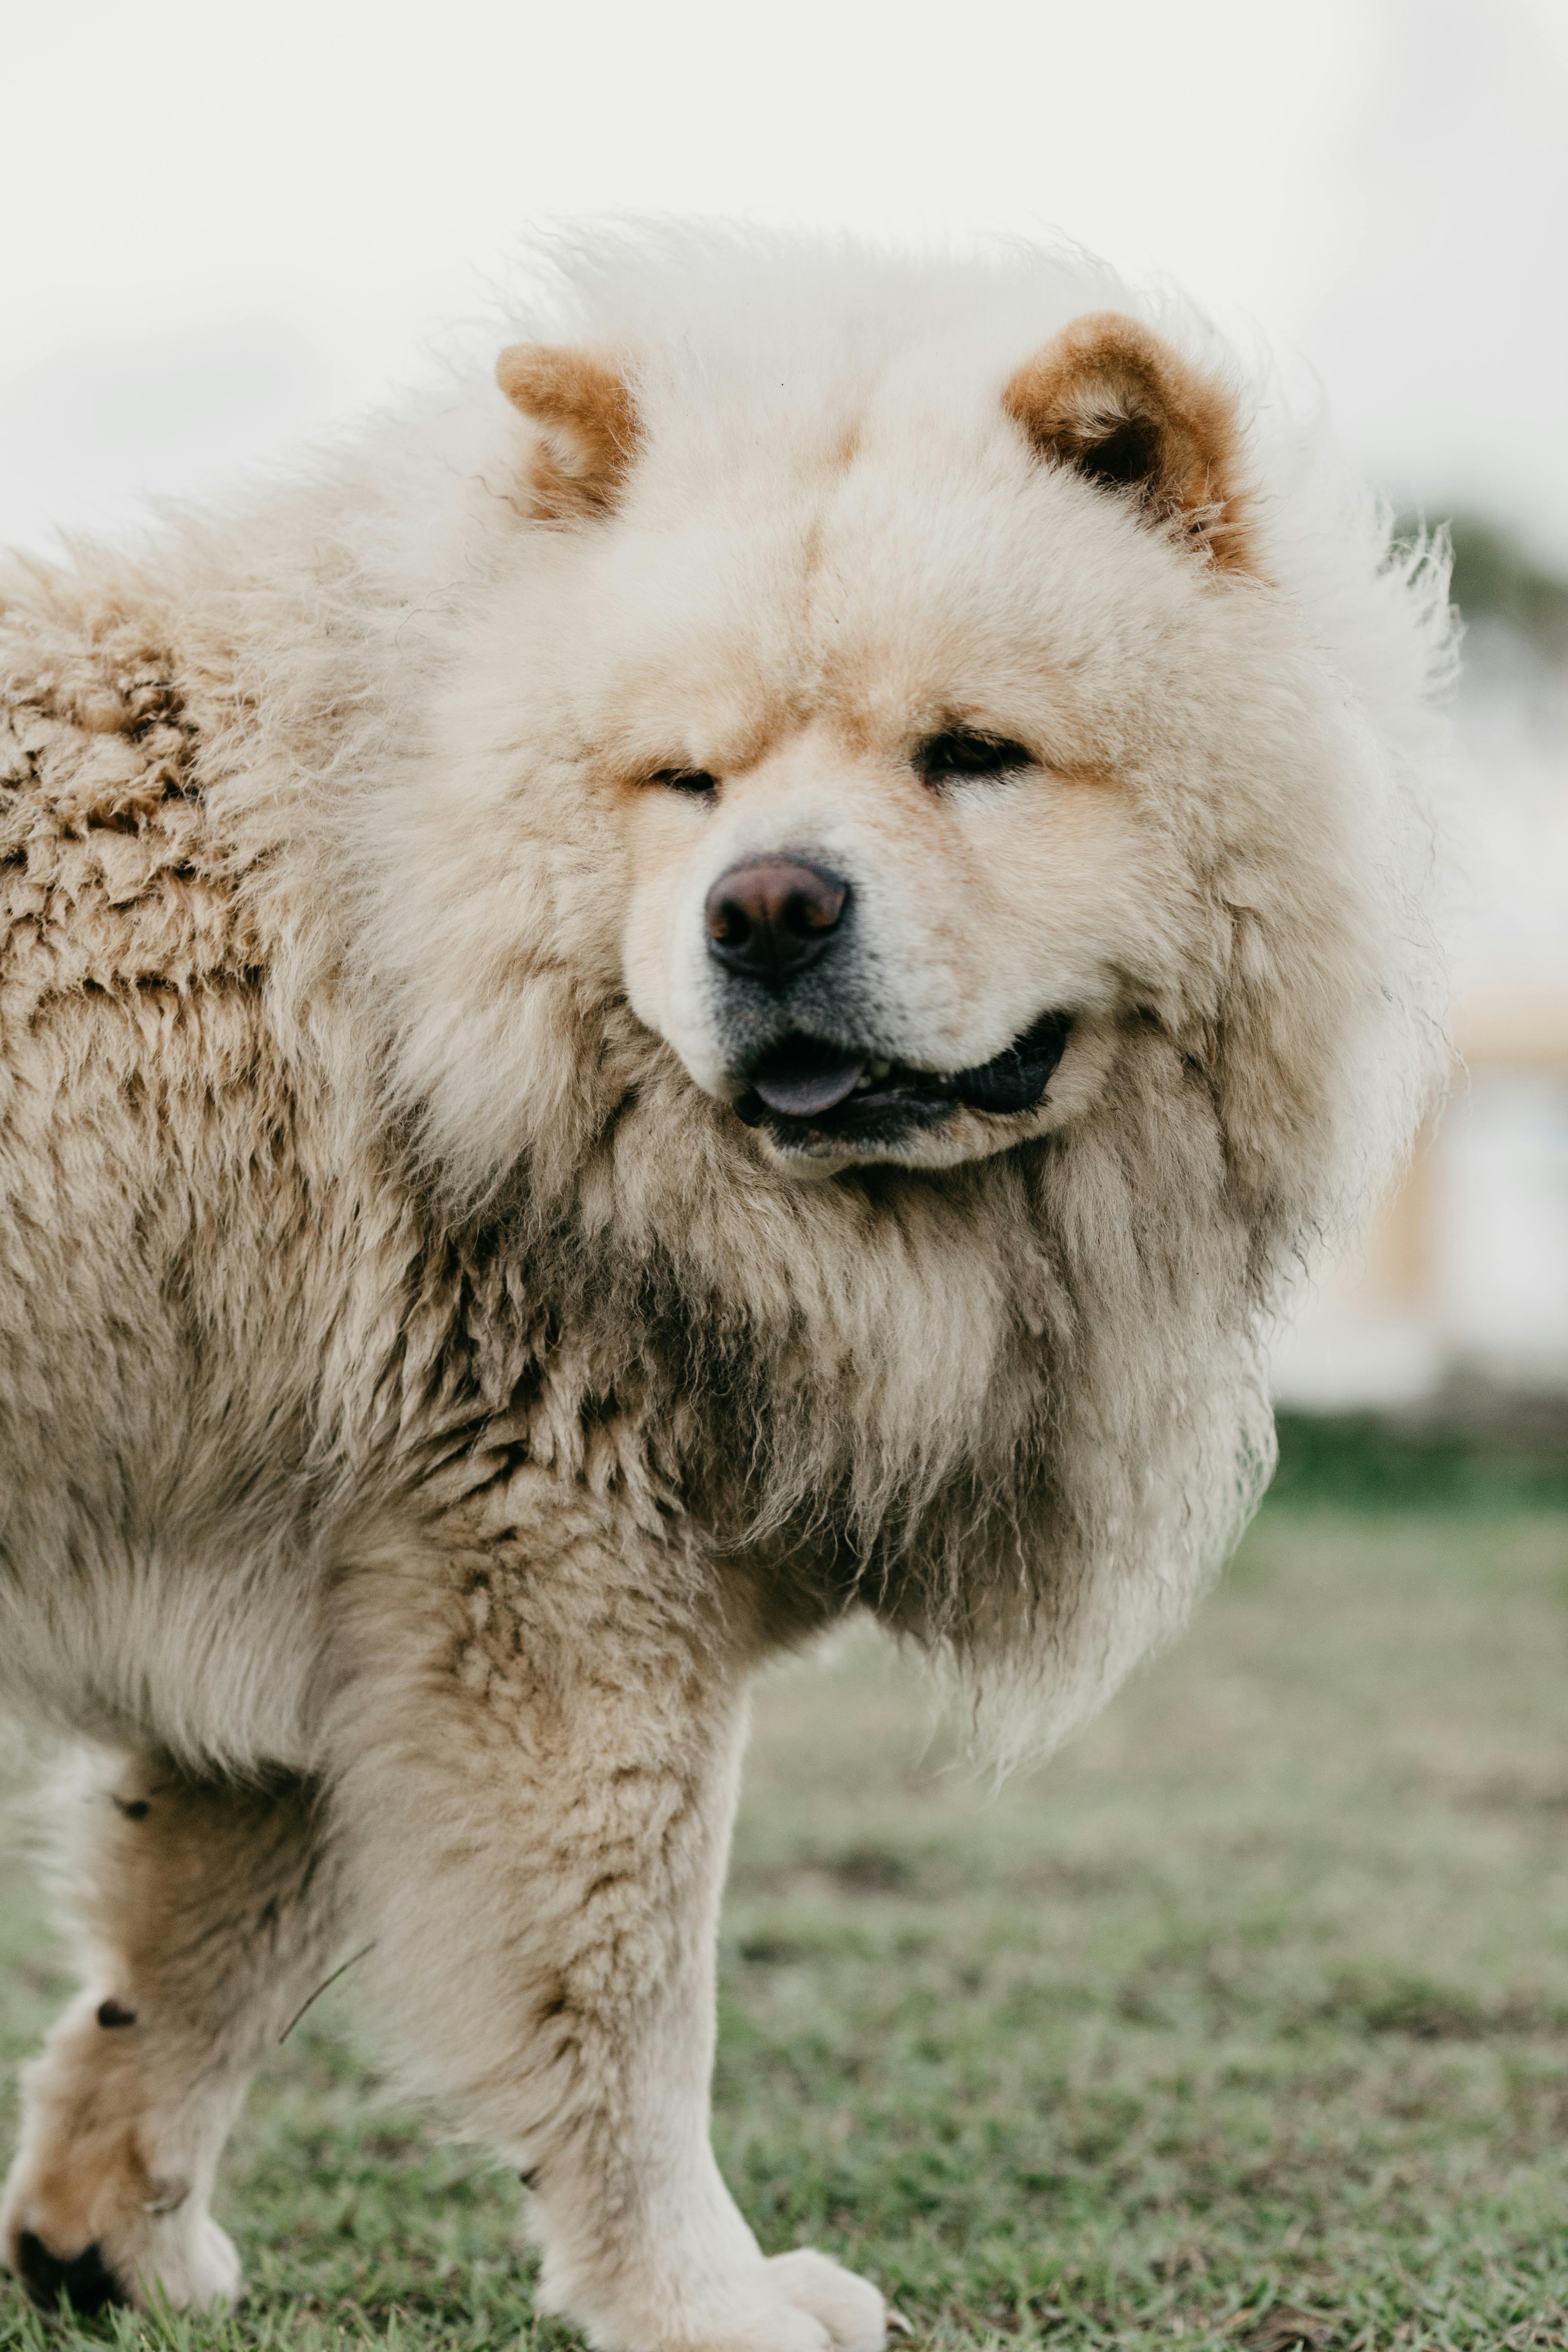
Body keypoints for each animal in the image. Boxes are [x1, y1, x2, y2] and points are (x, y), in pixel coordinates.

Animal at [0, 224, 1448, 2352]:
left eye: (973, 755)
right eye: (684, 781)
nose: (765, 905)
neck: (408, 932)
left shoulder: (337, 1601)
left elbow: (196, 1959)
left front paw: (107, 2235)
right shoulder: (559, 1594)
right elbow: (626, 1995)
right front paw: (701, 2292)